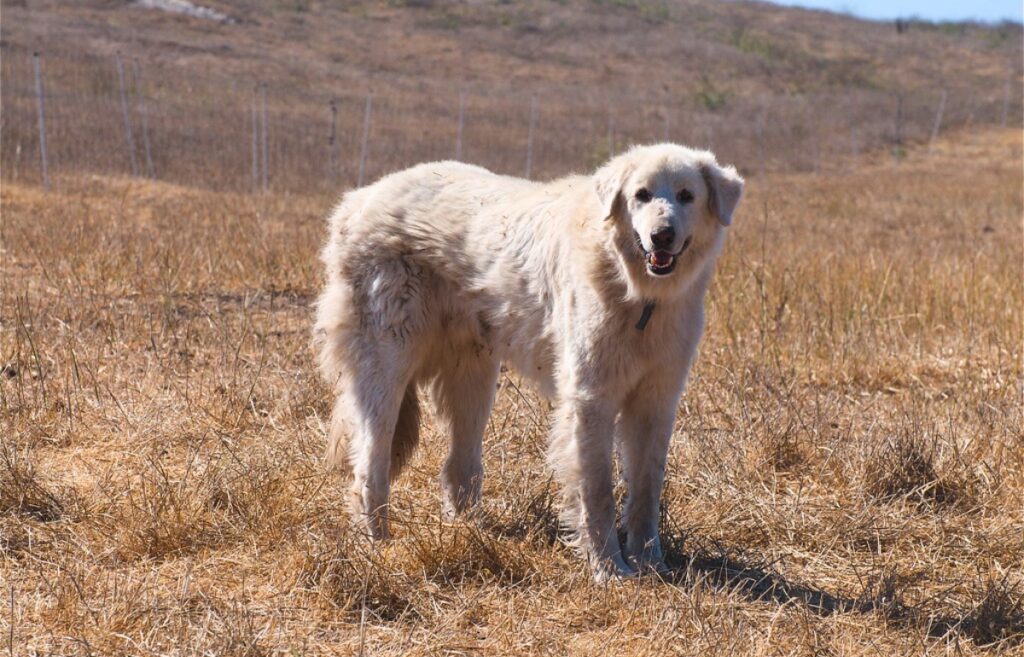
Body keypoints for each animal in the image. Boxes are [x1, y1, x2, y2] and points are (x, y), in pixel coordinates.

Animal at [313, 144, 745, 577]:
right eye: (641, 195)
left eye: (686, 196)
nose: (662, 235)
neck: (638, 293)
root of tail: (357, 200)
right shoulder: (590, 399)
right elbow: (597, 491)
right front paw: (607, 568)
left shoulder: (657, 400)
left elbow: (646, 489)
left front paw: (651, 564)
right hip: (388, 367)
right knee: (370, 466)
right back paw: (378, 543)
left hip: (474, 377)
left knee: (458, 467)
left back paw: (470, 534)